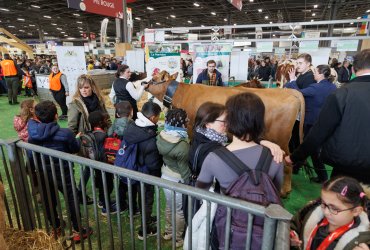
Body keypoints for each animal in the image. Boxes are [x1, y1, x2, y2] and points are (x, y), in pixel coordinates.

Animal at [146, 70, 304, 195]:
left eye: (154, 78)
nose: (144, 83)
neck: (182, 93)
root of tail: (289, 92)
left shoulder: (191, 129)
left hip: (282, 140)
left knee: (288, 163)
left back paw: (284, 191)